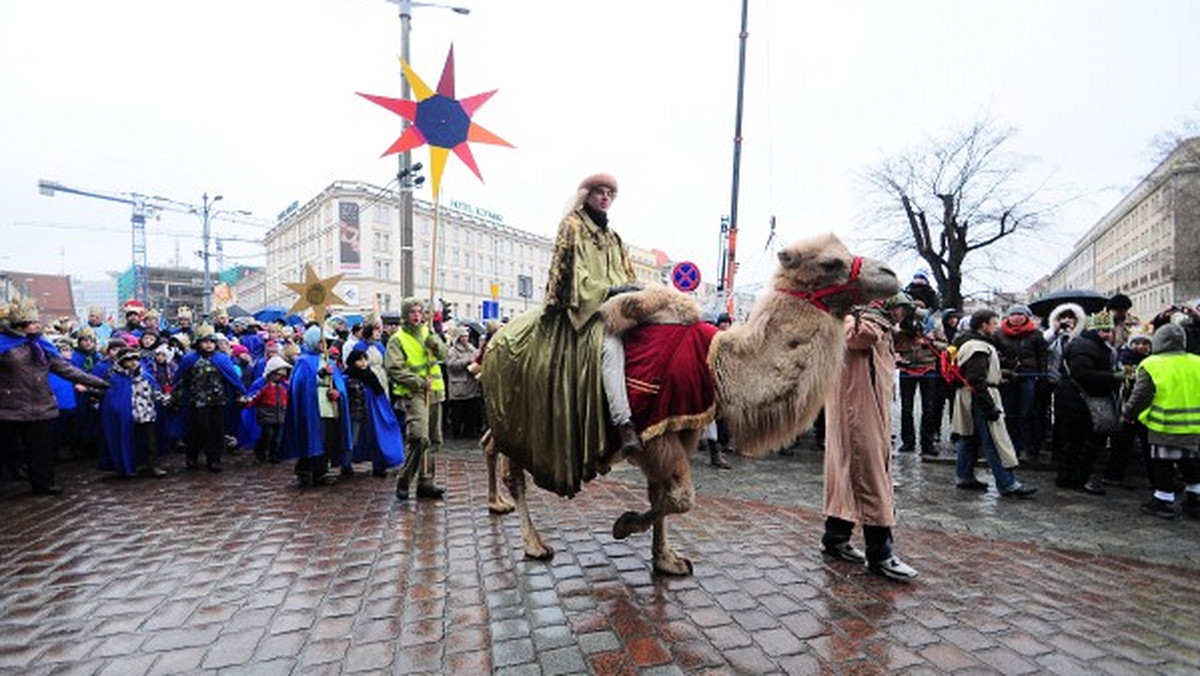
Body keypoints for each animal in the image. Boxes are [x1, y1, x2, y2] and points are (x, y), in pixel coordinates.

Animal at [477, 234, 902, 576]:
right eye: (831, 263)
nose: (891, 274)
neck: (715, 365)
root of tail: (496, 338)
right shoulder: (655, 435)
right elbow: (681, 498)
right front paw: (624, 525)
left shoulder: (680, 428)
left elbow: (663, 495)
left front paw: (666, 561)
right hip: (521, 415)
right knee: (514, 471)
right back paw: (534, 544)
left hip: (507, 416)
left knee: (490, 444)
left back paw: (497, 505)